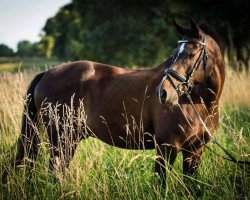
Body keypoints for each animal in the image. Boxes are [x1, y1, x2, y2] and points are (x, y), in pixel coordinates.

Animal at [10, 18, 226, 184]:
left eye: (191, 53)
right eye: (173, 55)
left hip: (69, 140)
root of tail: (47, 73)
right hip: (60, 140)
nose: (163, 93)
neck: (198, 103)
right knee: (56, 172)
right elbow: (161, 183)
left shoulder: (195, 151)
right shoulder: (166, 147)